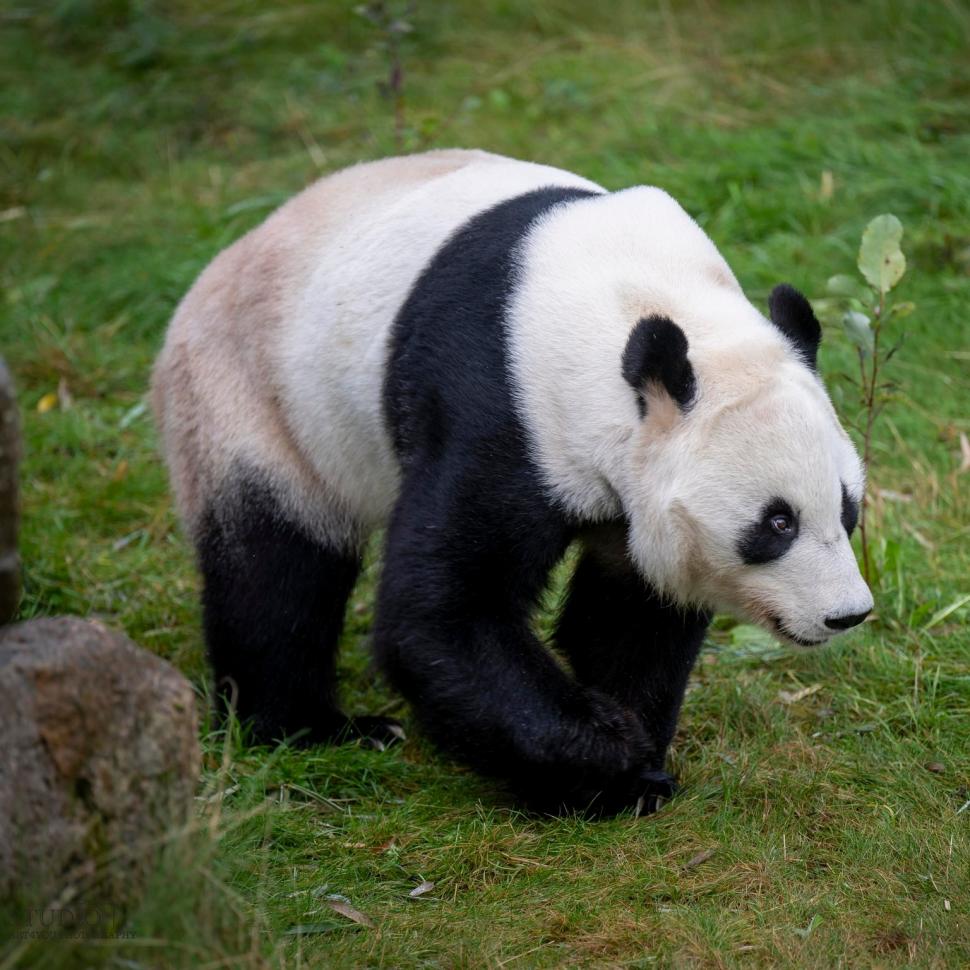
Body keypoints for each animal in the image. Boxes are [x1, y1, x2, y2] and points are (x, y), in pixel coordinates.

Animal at [152, 148, 873, 816]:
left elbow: (631, 612)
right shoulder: (503, 402)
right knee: (276, 566)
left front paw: (632, 762)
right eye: (776, 523)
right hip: (253, 395)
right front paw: (608, 760)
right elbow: (446, 611)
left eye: (847, 511)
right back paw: (313, 730)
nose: (847, 614)